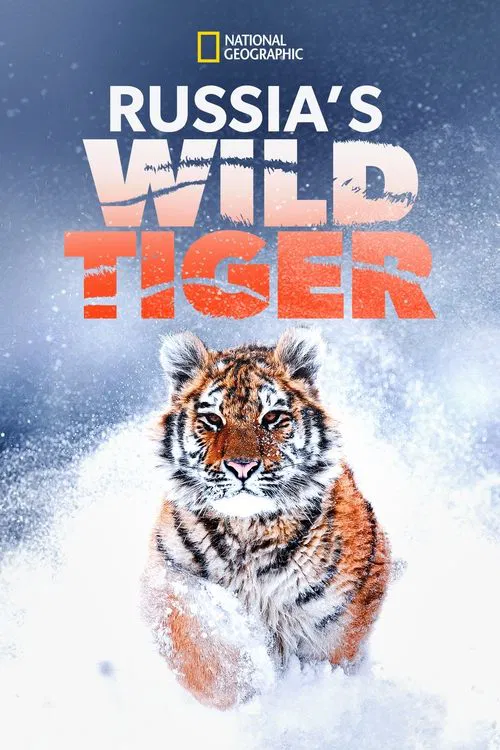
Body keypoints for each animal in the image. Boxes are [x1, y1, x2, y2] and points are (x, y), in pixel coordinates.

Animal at [141, 328, 391, 710]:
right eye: (213, 420)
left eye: (271, 418)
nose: (241, 466)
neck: (248, 531)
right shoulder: (165, 575)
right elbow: (193, 635)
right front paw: (242, 684)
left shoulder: (340, 610)